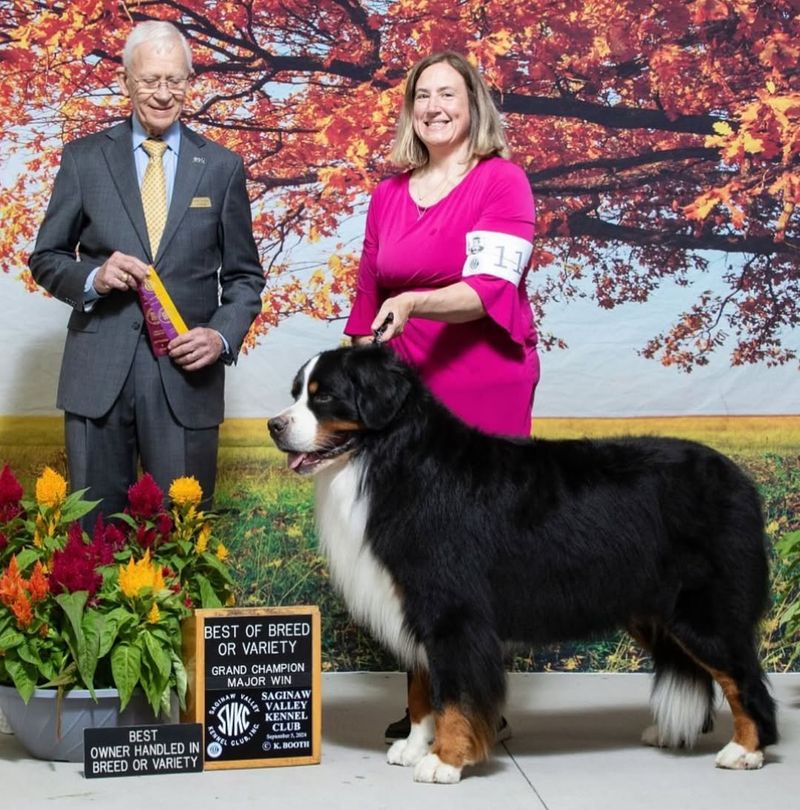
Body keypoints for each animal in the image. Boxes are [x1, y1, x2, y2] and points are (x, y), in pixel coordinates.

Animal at [268, 344, 776, 780]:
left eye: (324, 395)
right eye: (295, 392)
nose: (275, 424)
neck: (387, 461)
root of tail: (738, 479)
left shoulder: (452, 610)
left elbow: (454, 693)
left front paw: (444, 761)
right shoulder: (415, 604)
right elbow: (421, 688)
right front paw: (414, 745)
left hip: (703, 610)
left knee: (743, 678)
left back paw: (745, 750)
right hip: (655, 611)